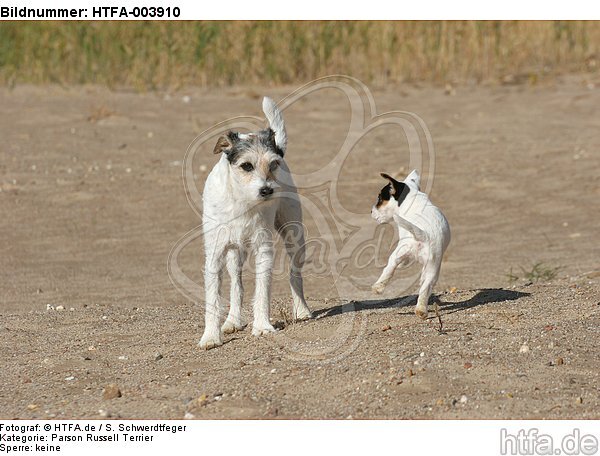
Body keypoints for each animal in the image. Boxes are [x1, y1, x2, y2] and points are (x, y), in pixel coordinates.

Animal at [200, 98, 314, 350]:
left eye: (273, 164)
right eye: (246, 166)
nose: (267, 190)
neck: (241, 201)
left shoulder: (264, 250)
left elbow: (262, 291)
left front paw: (262, 326)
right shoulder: (215, 254)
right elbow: (213, 300)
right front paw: (210, 337)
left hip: (294, 235)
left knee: (295, 275)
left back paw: (301, 310)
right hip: (234, 254)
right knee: (236, 285)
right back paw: (233, 320)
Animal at [370, 173, 450, 318]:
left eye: (379, 198)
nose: (371, 211)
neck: (413, 197)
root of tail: (425, 234)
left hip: (399, 251)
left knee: (389, 268)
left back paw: (377, 287)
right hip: (433, 266)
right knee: (425, 287)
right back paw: (421, 310)